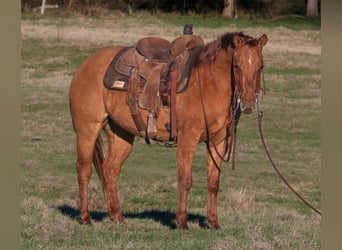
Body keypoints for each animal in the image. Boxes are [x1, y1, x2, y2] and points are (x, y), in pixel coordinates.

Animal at [69, 30, 268, 229]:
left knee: (110, 170)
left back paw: (117, 216)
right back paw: (85, 217)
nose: (249, 102)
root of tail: (86, 64)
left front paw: (213, 223)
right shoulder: (188, 139)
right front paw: (182, 222)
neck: (208, 83)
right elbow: (185, 181)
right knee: (84, 169)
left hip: (120, 135)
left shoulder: (218, 142)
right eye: (236, 66)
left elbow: (213, 182)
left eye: (261, 66)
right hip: (87, 130)